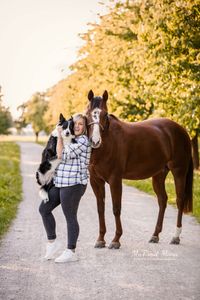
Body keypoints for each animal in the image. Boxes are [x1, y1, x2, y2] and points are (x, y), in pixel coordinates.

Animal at [85, 89, 193, 248]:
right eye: (87, 113)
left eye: (105, 114)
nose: (95, 141)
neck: (108, 143)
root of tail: (182, 130)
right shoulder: (96, 181)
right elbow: (100, 209)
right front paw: (100, 239)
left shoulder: (115, 179)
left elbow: (116, 208)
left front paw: (116, 240)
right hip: (159, 174)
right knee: (162, 200)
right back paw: (155, 235)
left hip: (179, 171)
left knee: (180, 200)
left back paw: (176, 236)